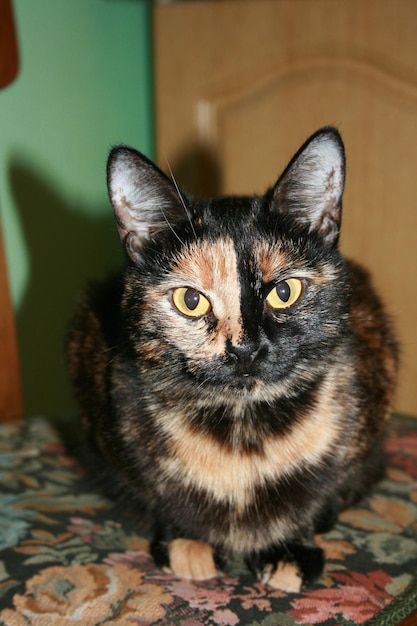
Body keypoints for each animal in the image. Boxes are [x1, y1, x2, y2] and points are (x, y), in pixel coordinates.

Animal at [66, 128, 398, 588]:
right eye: (190, 300)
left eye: (285, 291)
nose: (246, 349)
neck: (243, 431)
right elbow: (160, 494)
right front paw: (187, 542)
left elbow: (320, 493)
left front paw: (289, 549)